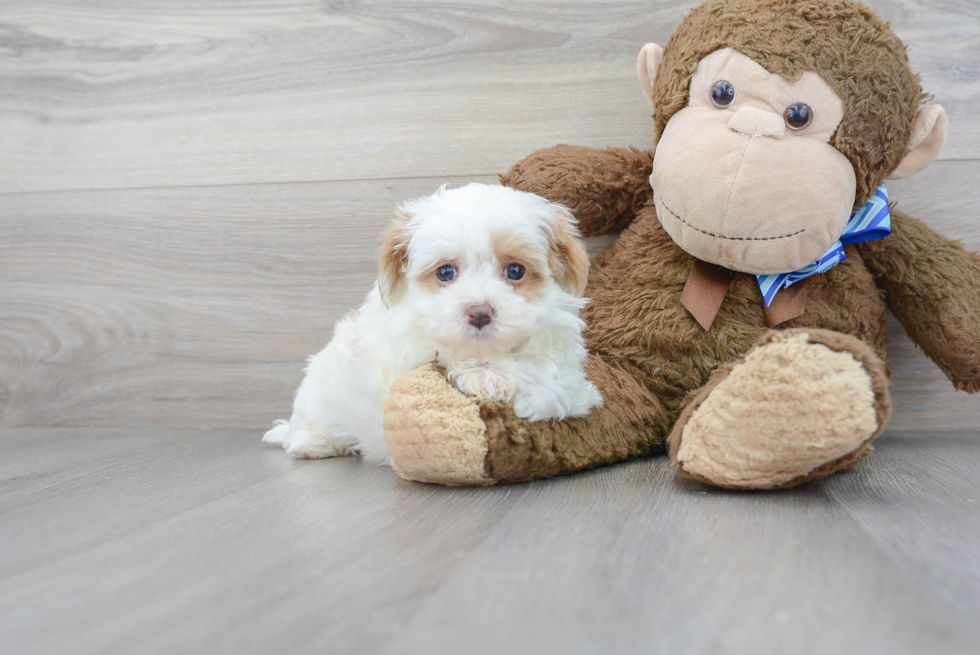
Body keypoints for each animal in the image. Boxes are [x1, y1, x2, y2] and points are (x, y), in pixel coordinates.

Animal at [262, 182, 596, 464]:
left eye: (515, 270)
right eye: (445, 272)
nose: (479, 312)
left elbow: (560, 382)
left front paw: (535, 390)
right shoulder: (404, 352)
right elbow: (449, 356)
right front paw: (493, 375)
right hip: (319, 392)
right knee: (309, 425)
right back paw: (311, 443)